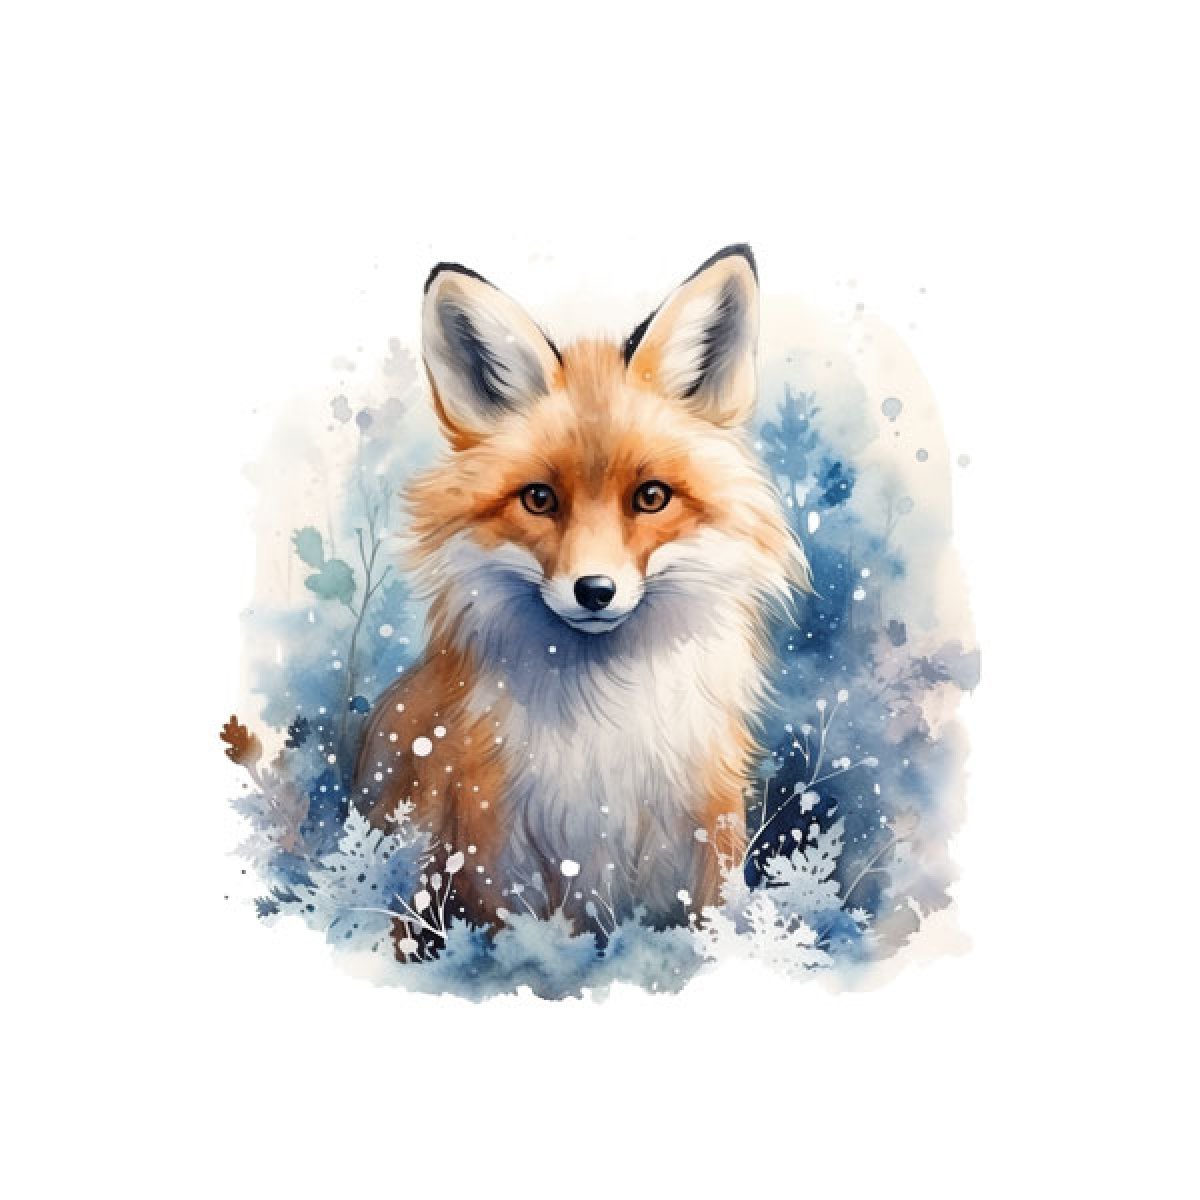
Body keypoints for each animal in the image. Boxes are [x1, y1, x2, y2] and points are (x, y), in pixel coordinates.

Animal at [355, 244, 810, 937]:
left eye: (651, 496)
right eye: (540, 499)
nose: (594, 591)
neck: (606, 721)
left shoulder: (707, 833)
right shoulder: (492, 849)